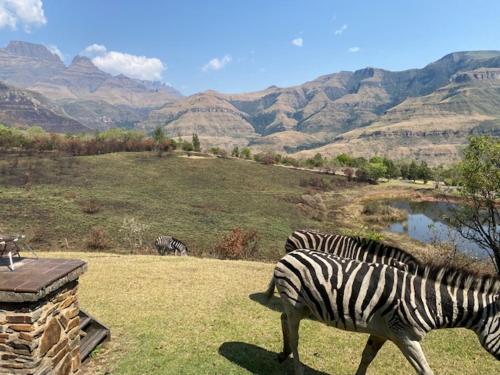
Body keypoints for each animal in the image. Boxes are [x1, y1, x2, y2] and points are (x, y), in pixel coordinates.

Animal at [264, 250, 498, 375]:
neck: (428, 300)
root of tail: (290, 254)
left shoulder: (382, 332)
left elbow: (367, 357)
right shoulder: (405, 337)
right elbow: (425, 370)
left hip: (304, 307)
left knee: (283, 318)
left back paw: (283, 353)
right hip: (295, 303)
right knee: (296, 337)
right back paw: (296, 366)